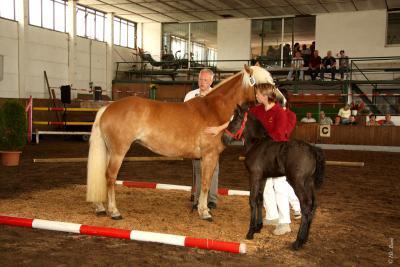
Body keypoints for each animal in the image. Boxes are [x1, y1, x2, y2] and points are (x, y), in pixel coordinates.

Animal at [86, 65, 280, 222]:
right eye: (264, 83)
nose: (280, 100)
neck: (214, 109)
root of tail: (107, 108)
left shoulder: (203, 158)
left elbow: (201, 182)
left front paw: (201, 208)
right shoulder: (210, 156)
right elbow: (206, 183)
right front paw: (205, 212)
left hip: (110, 151)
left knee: (102, 175)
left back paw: (100, 207)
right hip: (119, 152)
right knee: (110, 177)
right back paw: (114, 211)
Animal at [220, 104, 326, 249]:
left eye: (235, 121)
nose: (224, 138)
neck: (256, 144)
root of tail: (312, 149)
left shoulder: (254, 176)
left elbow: (252, 200)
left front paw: (250, 232)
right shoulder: (263, 177)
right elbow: (259, 199)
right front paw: (258, 227)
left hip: (297, 182)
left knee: (305, 205)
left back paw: (298, 241)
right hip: (309, 182)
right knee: (313, 205)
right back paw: (304, 240)